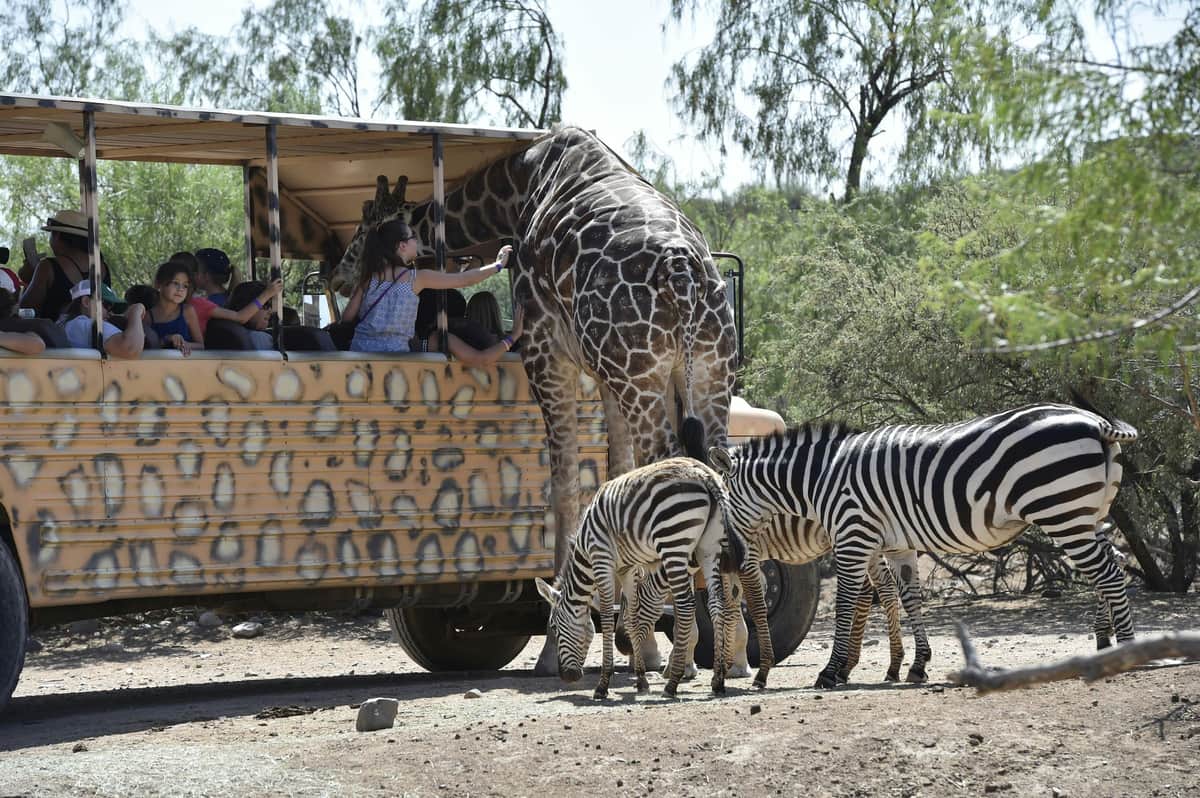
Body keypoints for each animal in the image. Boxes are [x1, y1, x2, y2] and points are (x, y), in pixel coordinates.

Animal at [331, 127, 739, 675]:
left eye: (366, 228)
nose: (338, 276)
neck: (517, 186)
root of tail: (683, 274)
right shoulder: (604, 373)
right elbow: (614, 477)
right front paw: (640, 642)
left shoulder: (545, 349)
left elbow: (564, 487)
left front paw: (562, 646)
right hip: (708, 371)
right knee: (721, 471)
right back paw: (733, 655)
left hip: (644, 370)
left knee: (669, 469)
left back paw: (688, 654)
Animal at [534, 457, 749, 699]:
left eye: (553, 627)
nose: (567, 677)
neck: (585, 551)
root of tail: (706, 474)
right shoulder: (627, 569)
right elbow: (631, 618)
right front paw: (641, 681)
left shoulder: (602, 559)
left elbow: (606, 616)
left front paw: (603, 685)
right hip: (709, 548)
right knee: (716, 604)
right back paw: (718, 680)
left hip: (673, 541)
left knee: (685, 605)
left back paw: (672, 683)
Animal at [707, 402, 1138, 689]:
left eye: (723, 503)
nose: (730, 557)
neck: (820, 477)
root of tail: (1097, 421)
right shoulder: (897, 545)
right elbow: (910, 599)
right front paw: (917, 665)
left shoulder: (852, 536)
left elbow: (845, 604)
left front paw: (830, 672)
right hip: (1087, 513)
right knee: (1113, 563)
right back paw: (1106, 645)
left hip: (1062, 511)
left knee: (1109, 574)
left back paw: (1130, 652)